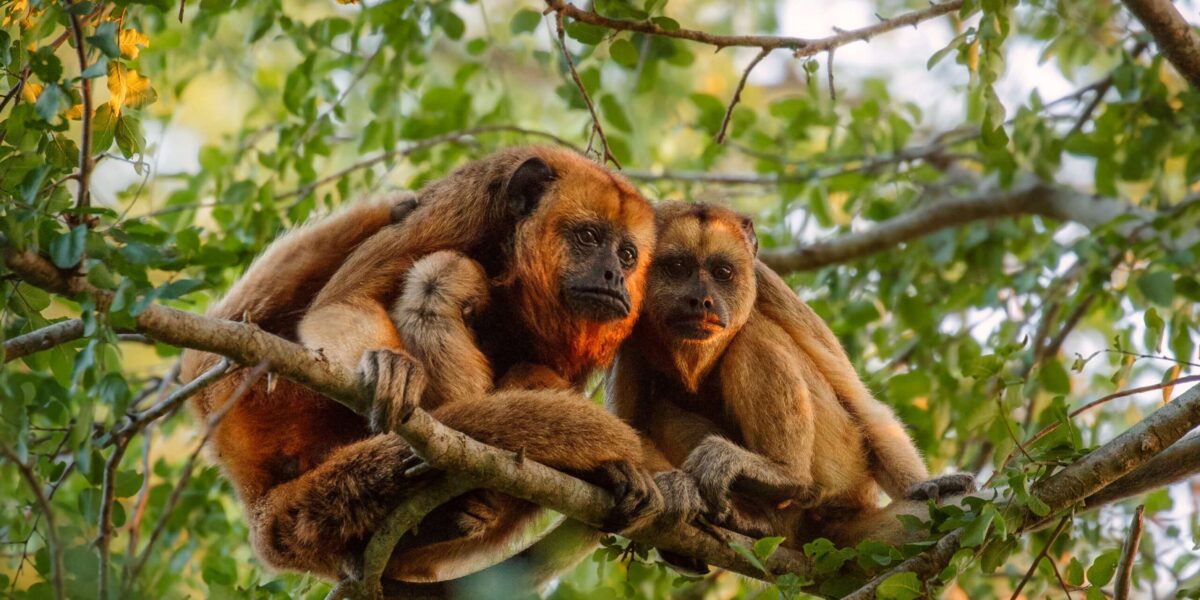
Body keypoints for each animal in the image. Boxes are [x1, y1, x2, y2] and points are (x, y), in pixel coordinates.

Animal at [179, 146, 680, 585]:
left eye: (627, 254)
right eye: (588, 237)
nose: (614, 277)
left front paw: (614, 470)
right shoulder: (467, 204)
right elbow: (345, 302)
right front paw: (390, 367)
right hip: (252, 388)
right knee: (433, 268)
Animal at [606, 202, 976, 549]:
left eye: (722, 272)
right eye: (677, 268)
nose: (702, 300)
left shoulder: (767, 283)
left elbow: (857, 400)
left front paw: (923, 486)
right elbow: (630, 428)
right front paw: (666, 486)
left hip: (843, 463)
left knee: (753, 335)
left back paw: (785, 476)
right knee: (660, 407)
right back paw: (753, 519)